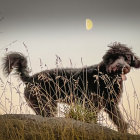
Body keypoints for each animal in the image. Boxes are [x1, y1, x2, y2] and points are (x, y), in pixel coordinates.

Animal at [2, 43, 140, 132]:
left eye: (127, 57)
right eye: (113, 57)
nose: (121, 66)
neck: (106, 75)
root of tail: (29, 78)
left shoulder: (110, 104)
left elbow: (118, 119)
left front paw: (123, 130)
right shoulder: (92, 104)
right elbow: (92, 119)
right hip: (45, 104)